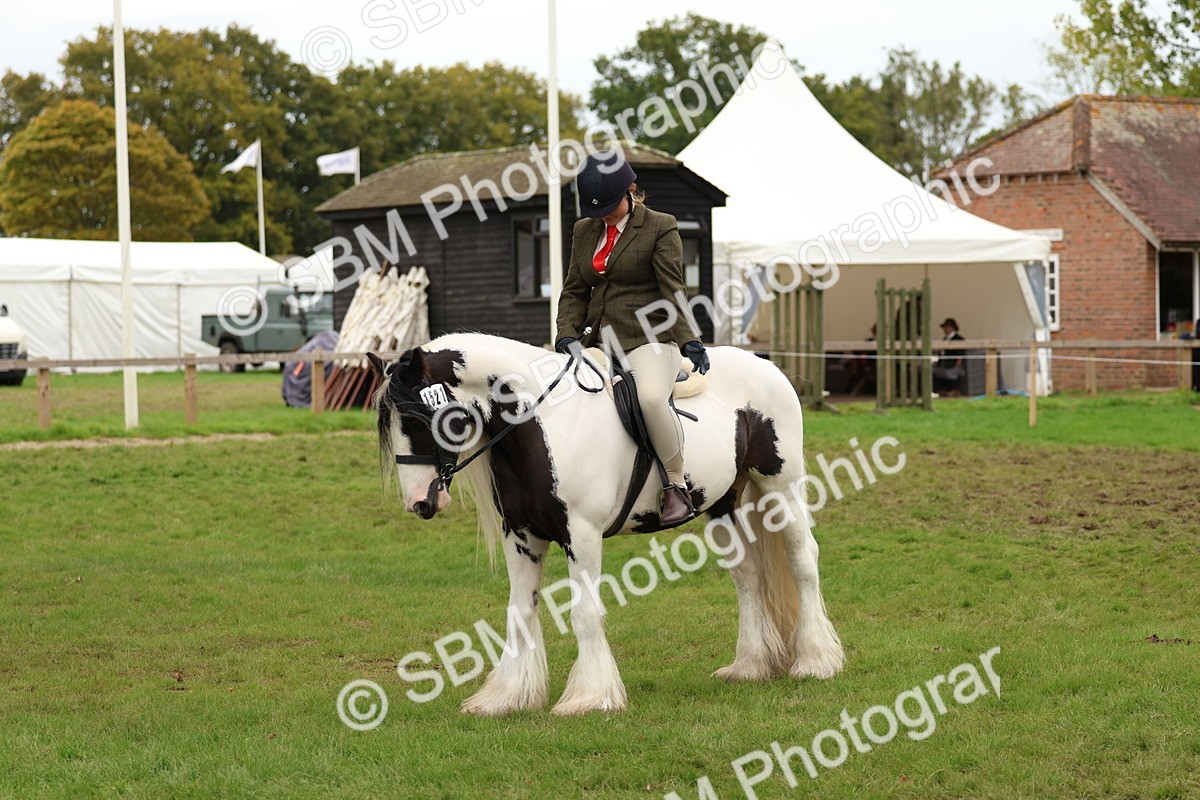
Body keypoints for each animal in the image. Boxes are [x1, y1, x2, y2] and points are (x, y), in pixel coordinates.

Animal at [368, 332, 844, 716]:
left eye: (417, 419)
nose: (419, 502)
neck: (540, 425)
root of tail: (768, 366)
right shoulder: (521, 536)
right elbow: (519, 611)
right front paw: (507, 697)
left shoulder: (581, 535)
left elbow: (583, 614)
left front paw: (590, 698)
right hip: (723, 502)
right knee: (747, 576)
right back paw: (749, 666)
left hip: (780, 487)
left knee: (803, 561)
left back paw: (815, 662)